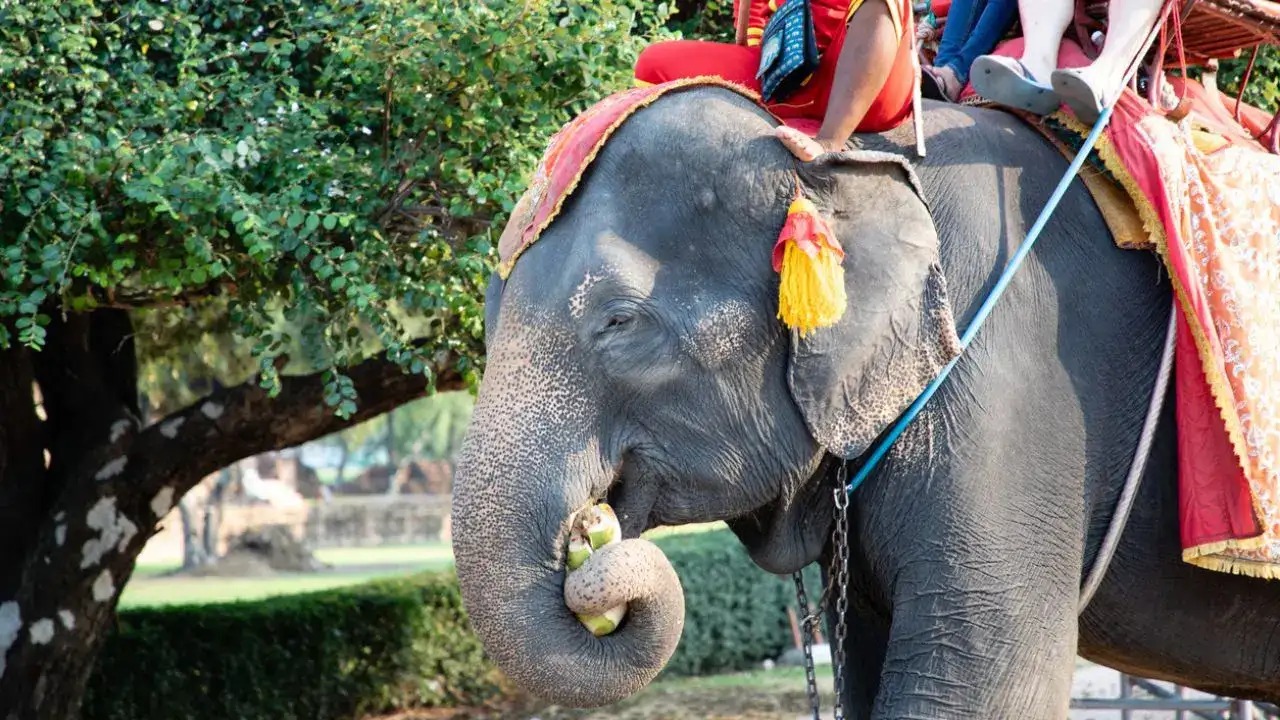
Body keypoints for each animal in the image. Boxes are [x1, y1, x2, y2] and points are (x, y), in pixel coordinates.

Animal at [450, 85, 1280, 718]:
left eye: (621, 322)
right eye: (487, 312)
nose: (589, 533)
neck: (837, 154)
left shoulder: (1016, 386)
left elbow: (979, 685)